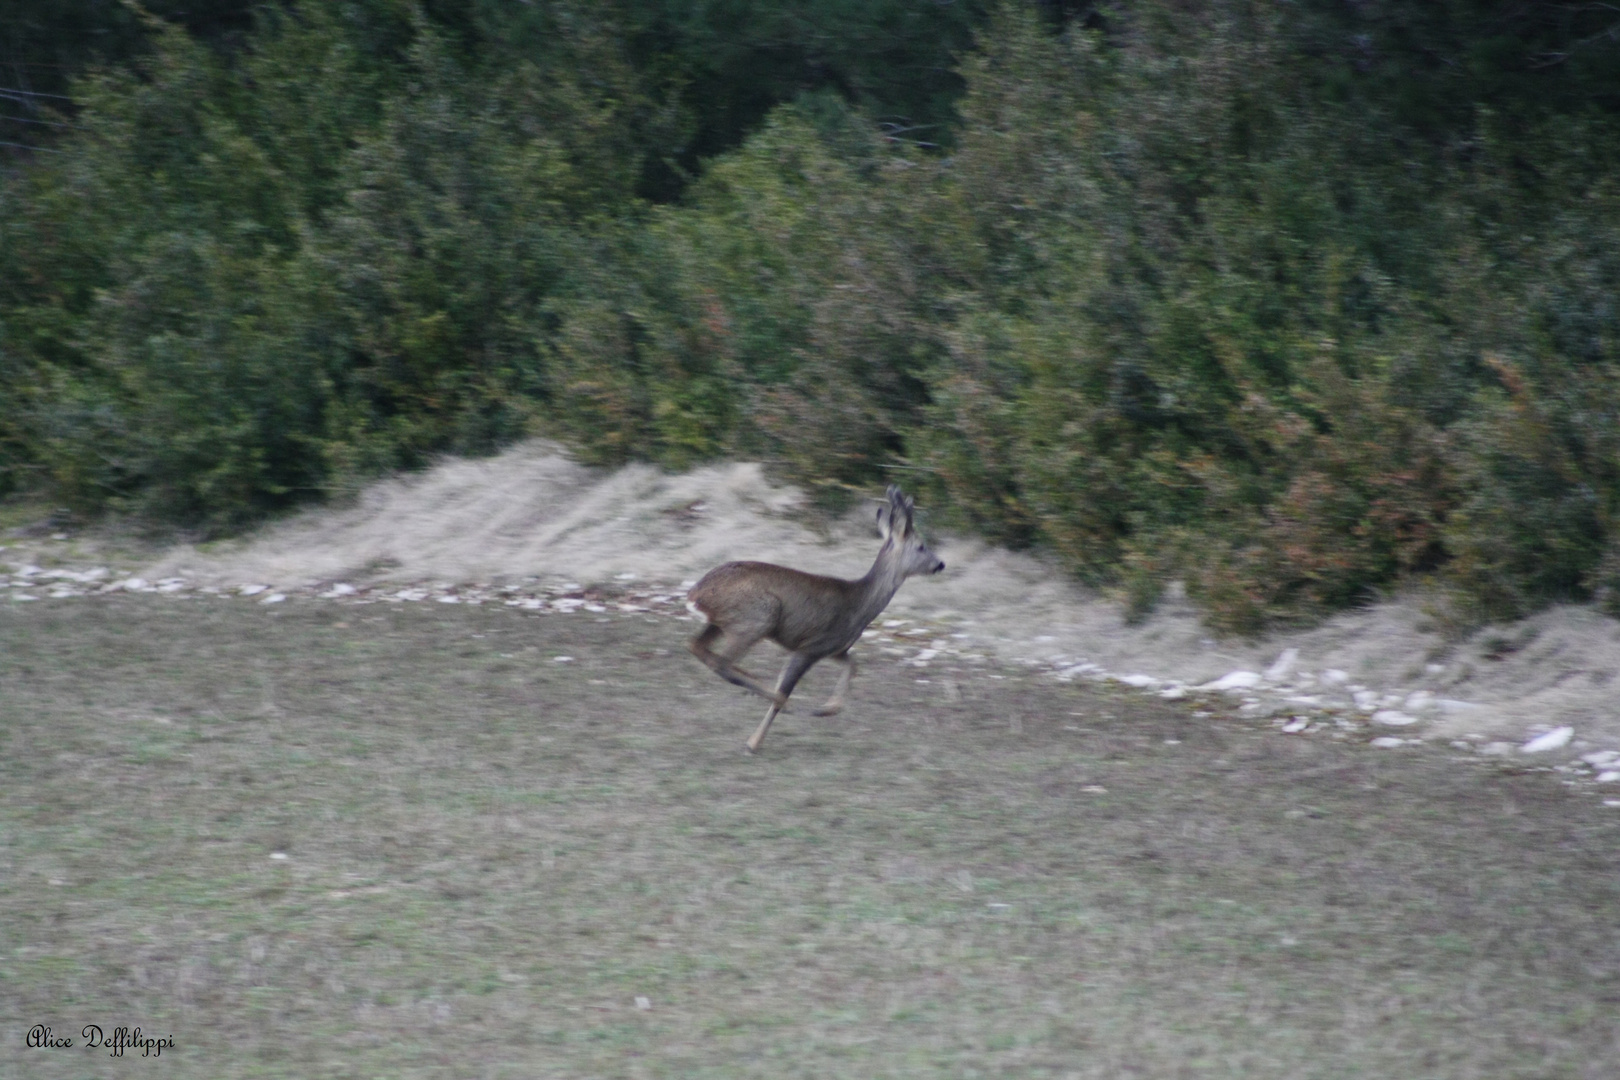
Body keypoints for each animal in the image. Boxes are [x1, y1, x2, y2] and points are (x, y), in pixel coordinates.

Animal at [686, 488, 946, 751]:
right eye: (921, 546)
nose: (940, 564)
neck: (859, 605)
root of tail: (695, 592)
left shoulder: (834, 649)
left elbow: (853, 666)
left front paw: (828, 709)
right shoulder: (811, 646)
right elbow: (787, 689)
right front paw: (753, 743)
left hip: (724, 622)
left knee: (697, 646)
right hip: (758, 617)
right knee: (722, 663)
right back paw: (774, 701)